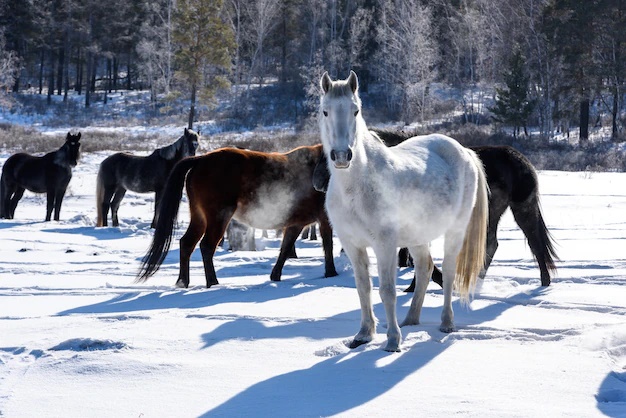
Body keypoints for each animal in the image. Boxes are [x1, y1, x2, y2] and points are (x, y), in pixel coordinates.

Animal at [136, 145, 336, 288]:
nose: (319, 182)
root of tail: (201, 159)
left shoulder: (296, 224)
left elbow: (285, 249)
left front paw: (275, 276)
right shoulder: (324, 219)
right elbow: (328, 245)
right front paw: (331, 273)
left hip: (199, 217)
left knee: (186, 244)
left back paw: (182, 282)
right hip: (219, 217)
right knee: (206, 246)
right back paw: (213, 283)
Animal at [316, 70, 488, 352]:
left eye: (355, 110)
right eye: (325, 111)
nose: (342, 156)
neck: (356, 188)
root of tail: (464, 151)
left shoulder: (385, 245)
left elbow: (387, 291)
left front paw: (392, 340)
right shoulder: (353, 245)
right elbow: (363, 288)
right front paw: (364, 334)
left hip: (455, 232)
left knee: (448, 272)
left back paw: (446, 323)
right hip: (418, 237)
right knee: (425, 269)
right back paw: (410, 320)